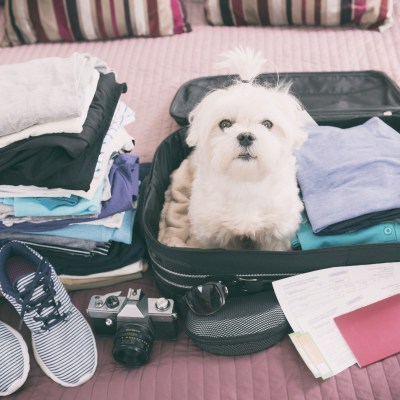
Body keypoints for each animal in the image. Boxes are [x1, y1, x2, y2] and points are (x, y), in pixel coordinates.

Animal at [181, 48, 310, 252]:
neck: (245, 182)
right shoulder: (212, 233)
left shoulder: (276, 234)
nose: (246, 136)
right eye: (225, 124)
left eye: (267, 124)